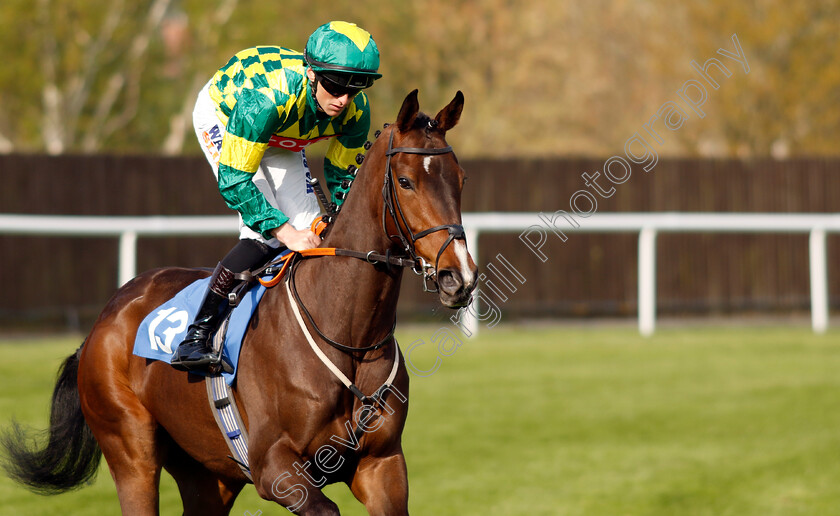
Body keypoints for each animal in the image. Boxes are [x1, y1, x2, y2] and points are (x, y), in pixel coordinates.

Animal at [0, 90, 476, 512]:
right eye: (406, 182)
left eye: (461, 180)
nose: (459, 277)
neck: (347, 334)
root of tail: (102, 322)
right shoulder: (275, 469)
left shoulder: (382, 465)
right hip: (131, 453)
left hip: (208, 475)